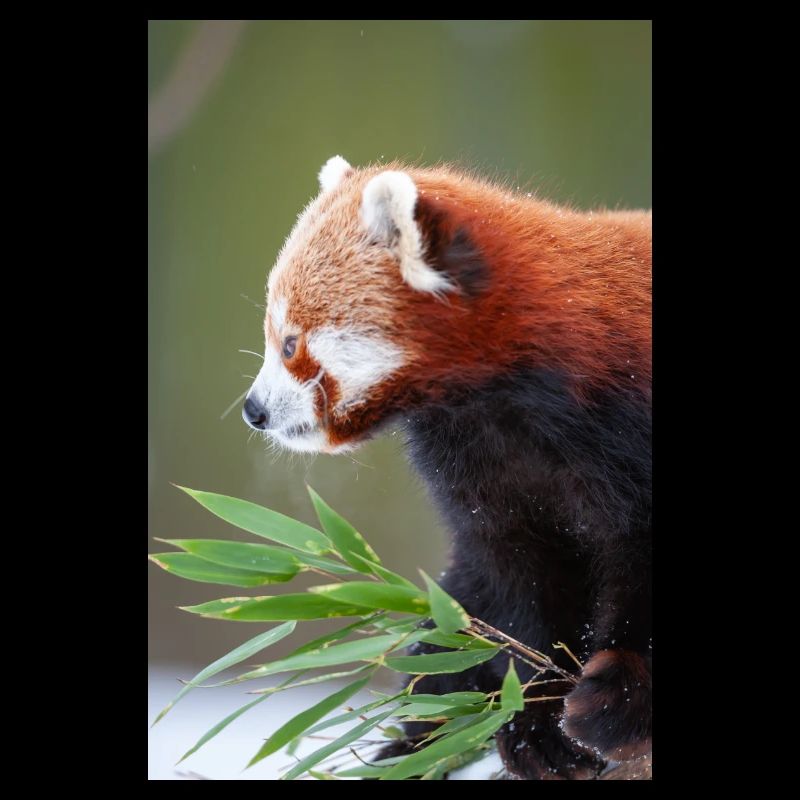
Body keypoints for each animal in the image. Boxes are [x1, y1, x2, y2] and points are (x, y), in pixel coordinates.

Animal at [242, 156, 651, 780]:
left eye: (289, 344)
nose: (254, 409)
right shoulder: (480, 473)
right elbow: (516, 586)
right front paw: (536, 721)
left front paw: (619, 700)